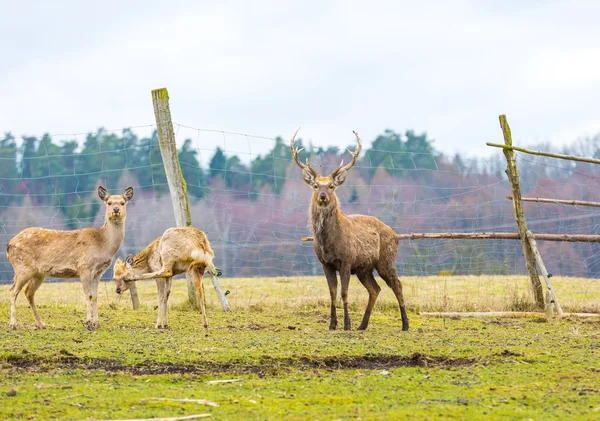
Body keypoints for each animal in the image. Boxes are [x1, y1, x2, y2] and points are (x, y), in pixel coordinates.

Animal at [7, 185, 134, 330]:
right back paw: (13, 324)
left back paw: (41, 324)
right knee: (13, 290)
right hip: (22, 267)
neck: (103, 245)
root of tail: (9, 244)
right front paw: (88, 323)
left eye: (123, 203)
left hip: (38, 273)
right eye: (109, 202)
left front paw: (96, 323)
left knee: (28, 292)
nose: (116, 210)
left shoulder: (98, 273)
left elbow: (95, 296)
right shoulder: (84, 267)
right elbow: (88, 295)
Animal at [290, 129, 408, 332]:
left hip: (386, 259)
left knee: (397, 285)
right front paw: (332, 325)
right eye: (315, 185)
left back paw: (405, 325)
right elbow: (332, 292)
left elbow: (344, 292)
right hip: (364, 269)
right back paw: (362, 325)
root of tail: (395, 234)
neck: (328, 243)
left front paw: (346, 324)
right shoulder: (325, 263)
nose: (323, 196)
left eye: (331, 186)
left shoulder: (346, 260)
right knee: (375, 289)